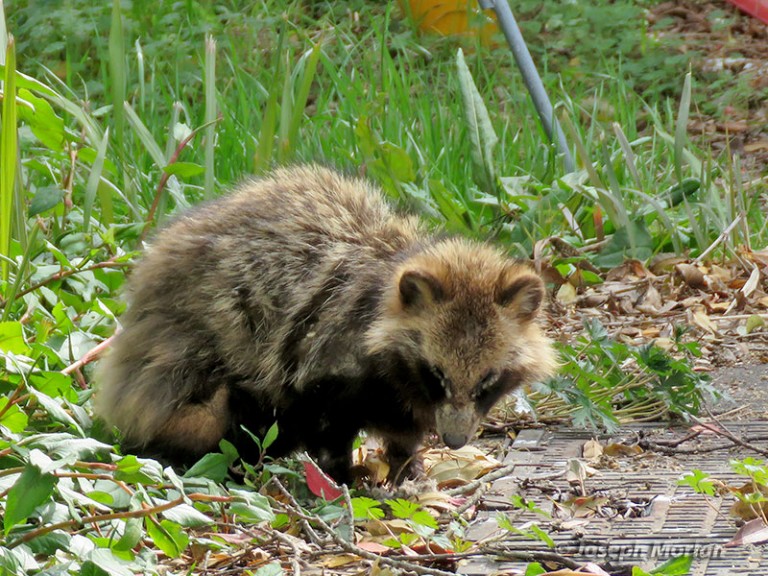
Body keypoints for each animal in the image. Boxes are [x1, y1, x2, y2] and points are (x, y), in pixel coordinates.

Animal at [94, 164, 560, 484]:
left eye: (487, 380)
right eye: (436, 374)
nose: (455, 441)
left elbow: (405, 427)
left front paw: (406, 462)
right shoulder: (326, 354)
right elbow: (326, 421)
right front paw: (344, 475)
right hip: (192, 360)